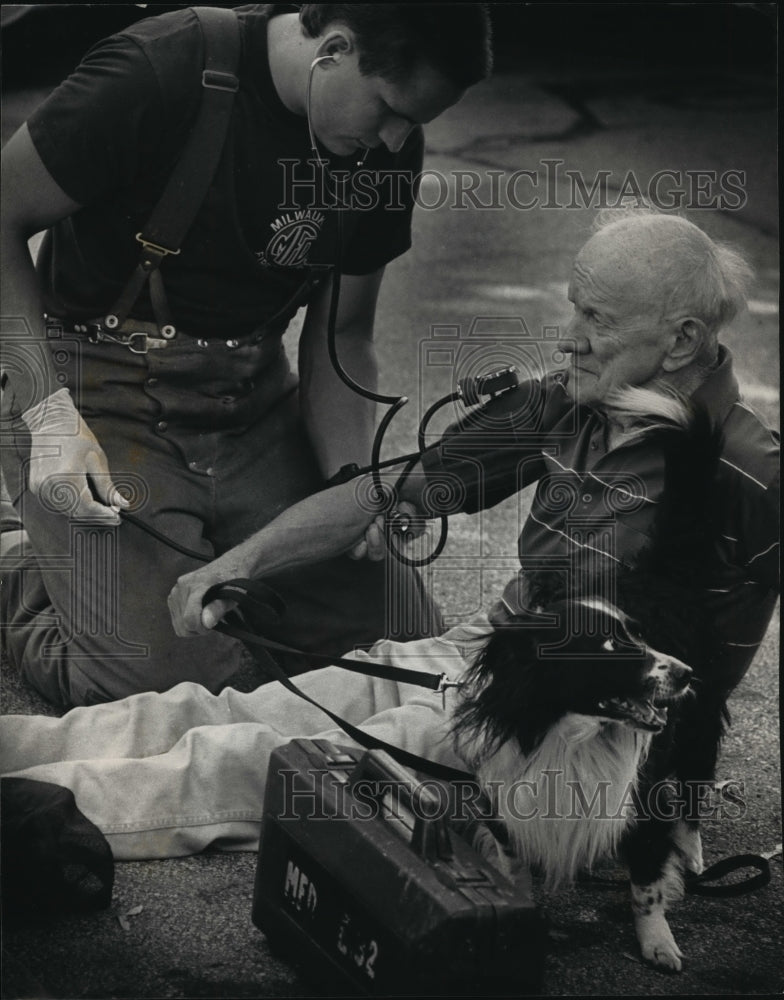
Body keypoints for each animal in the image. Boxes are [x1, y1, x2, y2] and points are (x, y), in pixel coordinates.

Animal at [450, 388, 732, 968]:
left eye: (641, 637)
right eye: (611, 647)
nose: (684, 673)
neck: (572, 732)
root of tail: (664, 570)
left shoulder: (642, 800)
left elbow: (646, 880)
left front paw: (657, 942)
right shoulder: (507, 797)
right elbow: (515, 866)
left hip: (699, 721)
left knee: (695, 780)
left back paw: (691, 852)